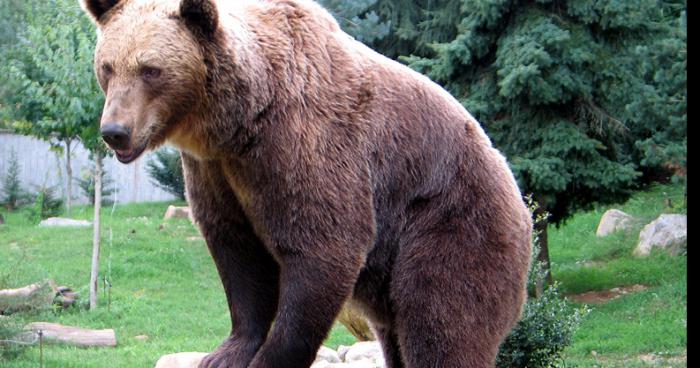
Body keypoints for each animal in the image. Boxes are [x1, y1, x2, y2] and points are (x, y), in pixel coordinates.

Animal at [80, 1, 532, 366]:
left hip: (450, 223)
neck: (236, 122)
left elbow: (324, 246)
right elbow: (237, 254)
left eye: (150, 69)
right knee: (399, 333)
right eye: (107, 66)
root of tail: (519, 197)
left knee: (440, 318)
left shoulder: (304, 146)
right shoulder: (216, 172)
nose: (115, 131)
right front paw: (226, 353)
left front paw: (268, 358)